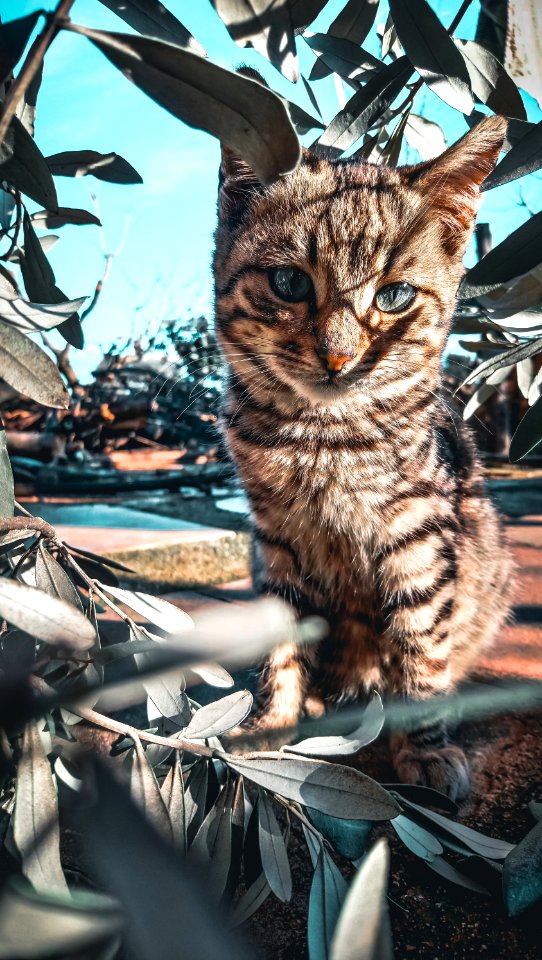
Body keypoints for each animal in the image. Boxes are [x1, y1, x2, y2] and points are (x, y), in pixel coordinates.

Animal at [214, 86, 516, 800]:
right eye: (290, 283)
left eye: (395, 295)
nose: (338, 357)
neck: (322, 437)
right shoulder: (277, 540)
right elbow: (284, 634)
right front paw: (271, 721)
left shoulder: (418, 536)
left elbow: (419, 642)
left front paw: (426, 747)